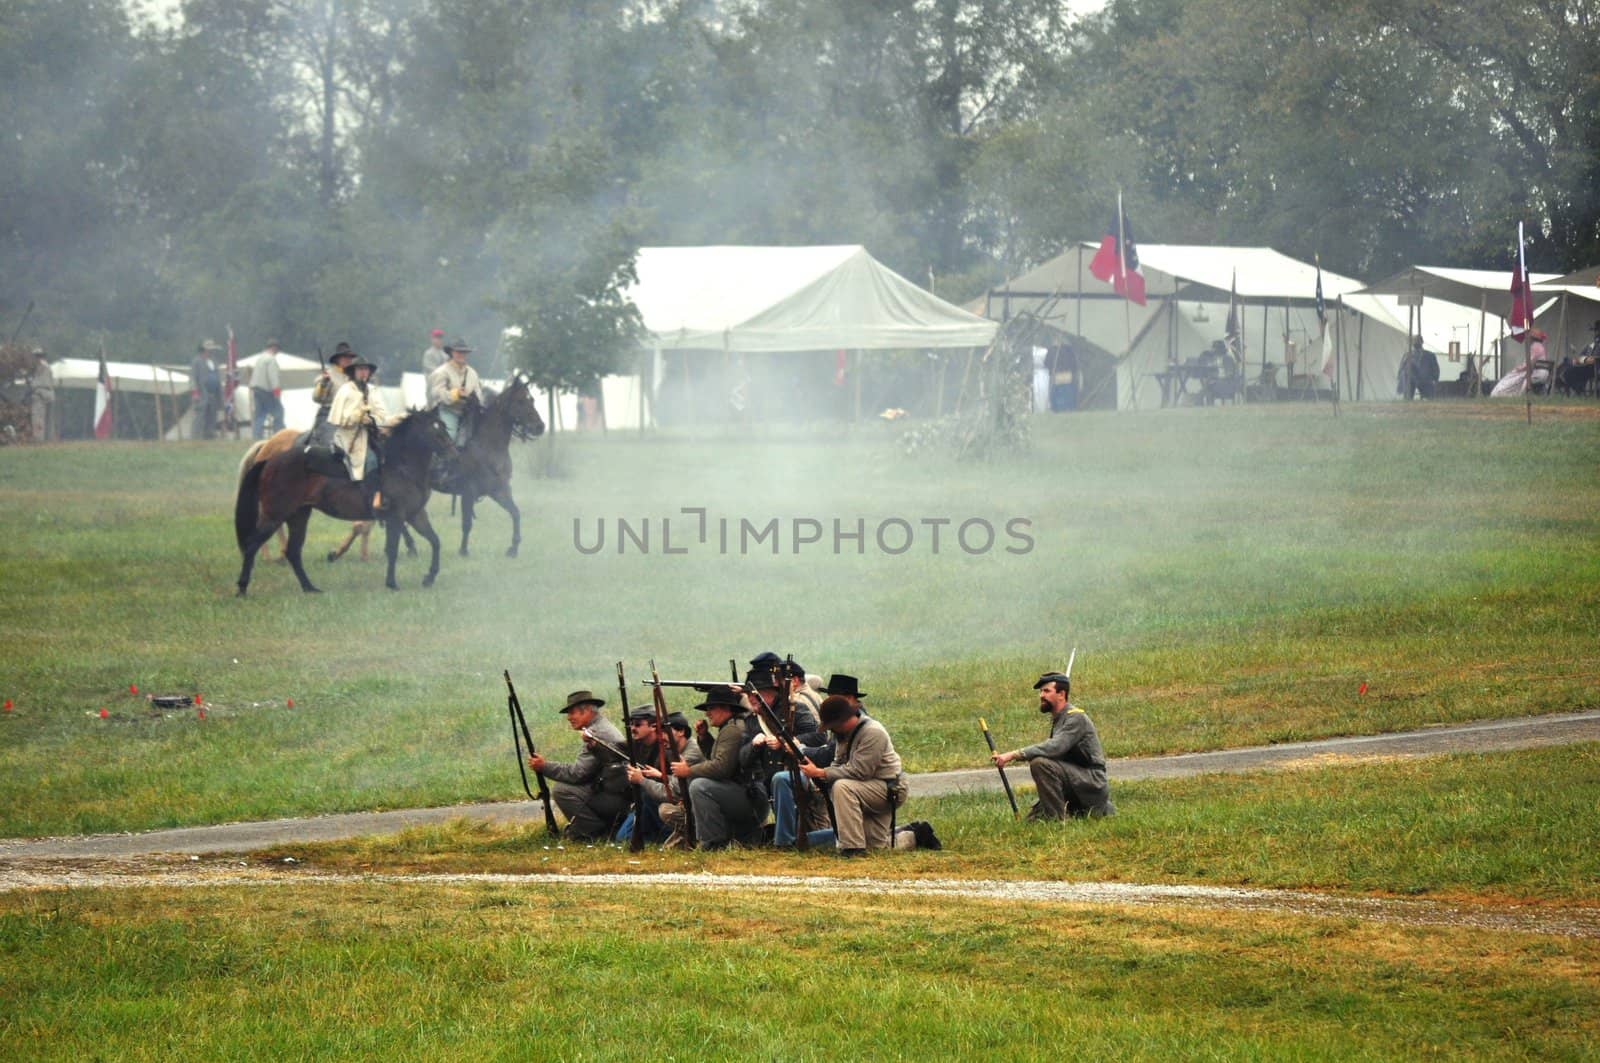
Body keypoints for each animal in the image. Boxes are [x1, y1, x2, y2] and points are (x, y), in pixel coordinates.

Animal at [232, 406, 460, 592]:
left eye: (443, 426)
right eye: (432, 429)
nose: (453, 454)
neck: (401, 466)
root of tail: (269, 460)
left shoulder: (415, 515)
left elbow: (435, 541)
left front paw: (429, 578)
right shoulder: (396, 516)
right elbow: (392, 549)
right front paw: (392, 583)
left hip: (298, 516)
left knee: (293, 551)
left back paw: (309, 588)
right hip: (275, 515)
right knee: (253, 545)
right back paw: (243, 587)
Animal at [428, 371, 547, 557]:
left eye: (532, 400)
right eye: (520, 401)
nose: (539, 427)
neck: (488, 447)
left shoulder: (499, 490)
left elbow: (515, 513)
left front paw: (513, 548)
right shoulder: (468, 492)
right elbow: (467, 523)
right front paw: (463, 551)